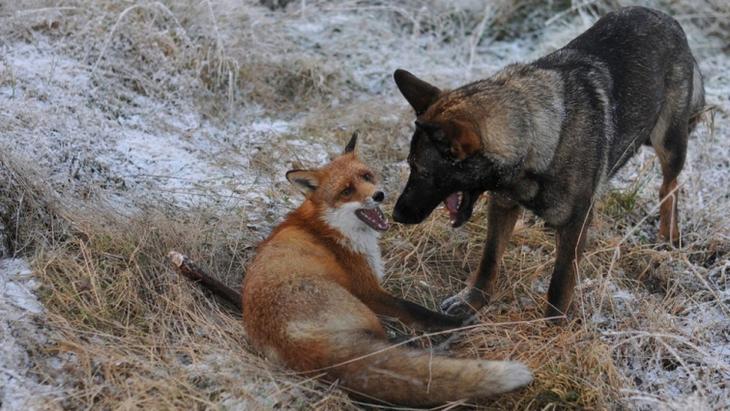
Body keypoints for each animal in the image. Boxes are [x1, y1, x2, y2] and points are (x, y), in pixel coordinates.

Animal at [174, 134, 532, 406]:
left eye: (367, 176)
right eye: (346, 191)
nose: (380, 195)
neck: (330, 228)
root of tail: (293, 343)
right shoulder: (369, 290)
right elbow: (416, 310)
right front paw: (456, 322)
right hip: (363, 310)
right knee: (391, 345)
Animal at [390, 8, 704, 320]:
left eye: (423, 171)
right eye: (410, 165)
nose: (396, 215)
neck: (535, 137)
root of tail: (665, 17)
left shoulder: (575, 223)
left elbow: (560, 283)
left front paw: (553, 326)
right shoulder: (502, 205)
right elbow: (489, 259)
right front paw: (472, 301)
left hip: (668, 143)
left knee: (669, 186)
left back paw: (667, 237)